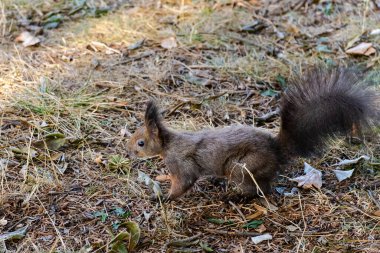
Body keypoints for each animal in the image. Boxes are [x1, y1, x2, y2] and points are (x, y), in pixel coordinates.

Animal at [127, 66, 378, 201]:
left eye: (141, 143)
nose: (128, 152)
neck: (168, 144)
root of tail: (276, 150)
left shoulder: (180, 162)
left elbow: (184, 182)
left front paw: (163, 197)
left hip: (241, 166)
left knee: (260, 190)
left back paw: (236, 197)